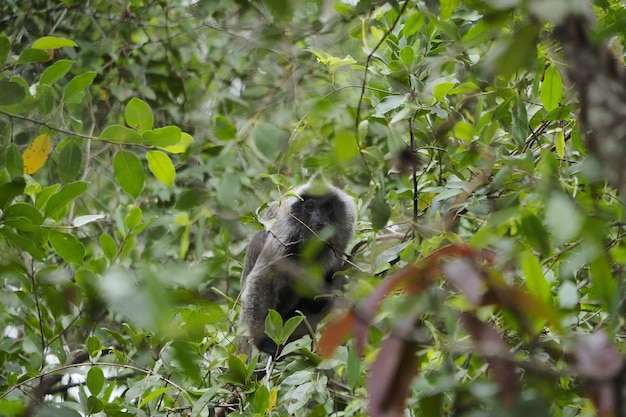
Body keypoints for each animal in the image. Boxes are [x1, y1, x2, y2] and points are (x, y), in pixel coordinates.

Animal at [238, 176, 356, 354]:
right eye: (310, 206)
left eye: (327, 206)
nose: (318, 215)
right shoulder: (286, 230)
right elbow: (263, 276)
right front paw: (264, 342)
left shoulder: (344, 230)